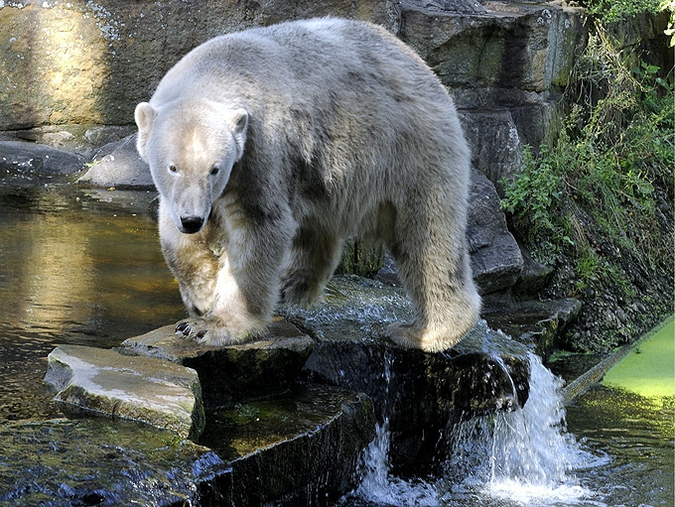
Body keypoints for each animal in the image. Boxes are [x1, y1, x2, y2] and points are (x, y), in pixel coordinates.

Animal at [135, 16, 480, 354]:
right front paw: (202, 296)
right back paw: (291, 285)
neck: (219, 70)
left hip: (410, 149)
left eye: (214, 169)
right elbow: (175, 236)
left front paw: (214, 326)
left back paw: (426, 331)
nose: (192, 220)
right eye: (173, 167)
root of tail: (423, 67)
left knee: (426, 238)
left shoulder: (260, 151)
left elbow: (259, 226)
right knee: (318, 224)